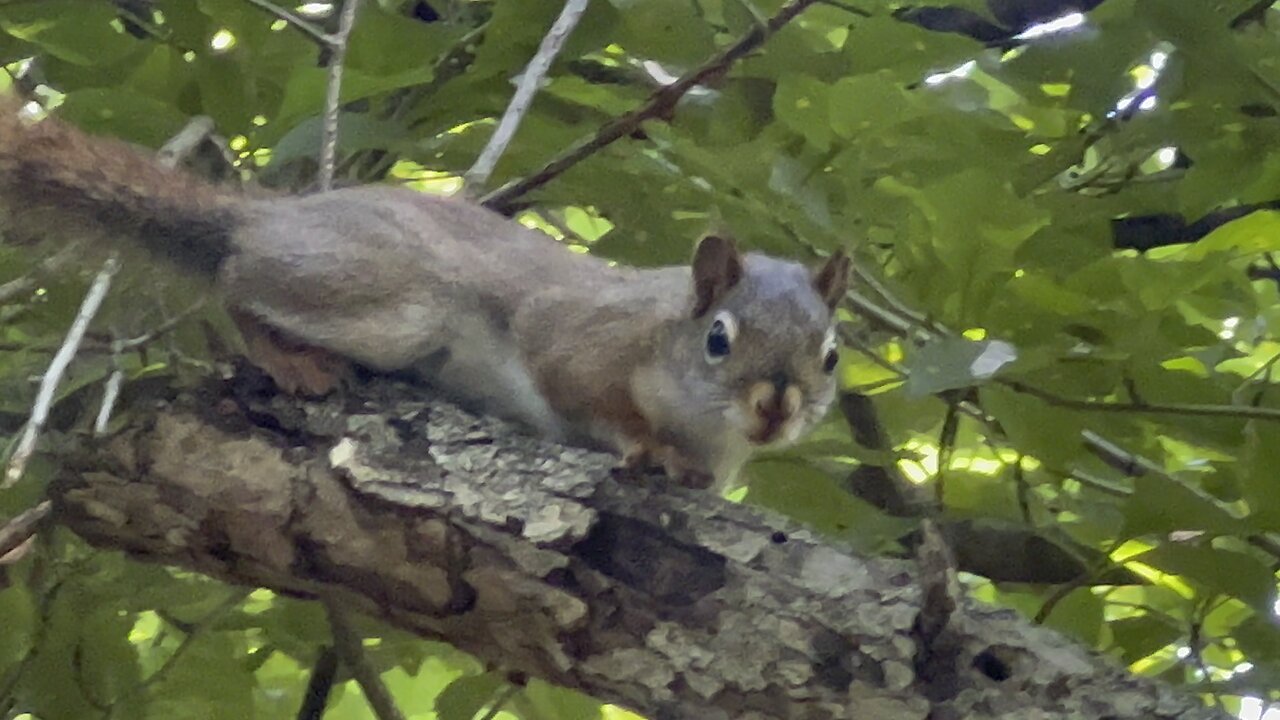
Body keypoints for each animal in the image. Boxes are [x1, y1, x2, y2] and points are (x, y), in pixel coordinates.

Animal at [0, 102, 849, 486]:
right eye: (718, 339)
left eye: (832, 355)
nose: (776, 409)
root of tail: (266, 216)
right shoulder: (583, 337)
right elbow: (583, 389)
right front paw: (647, 446)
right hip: (388, 297)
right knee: (238, 282)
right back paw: (289, 359)